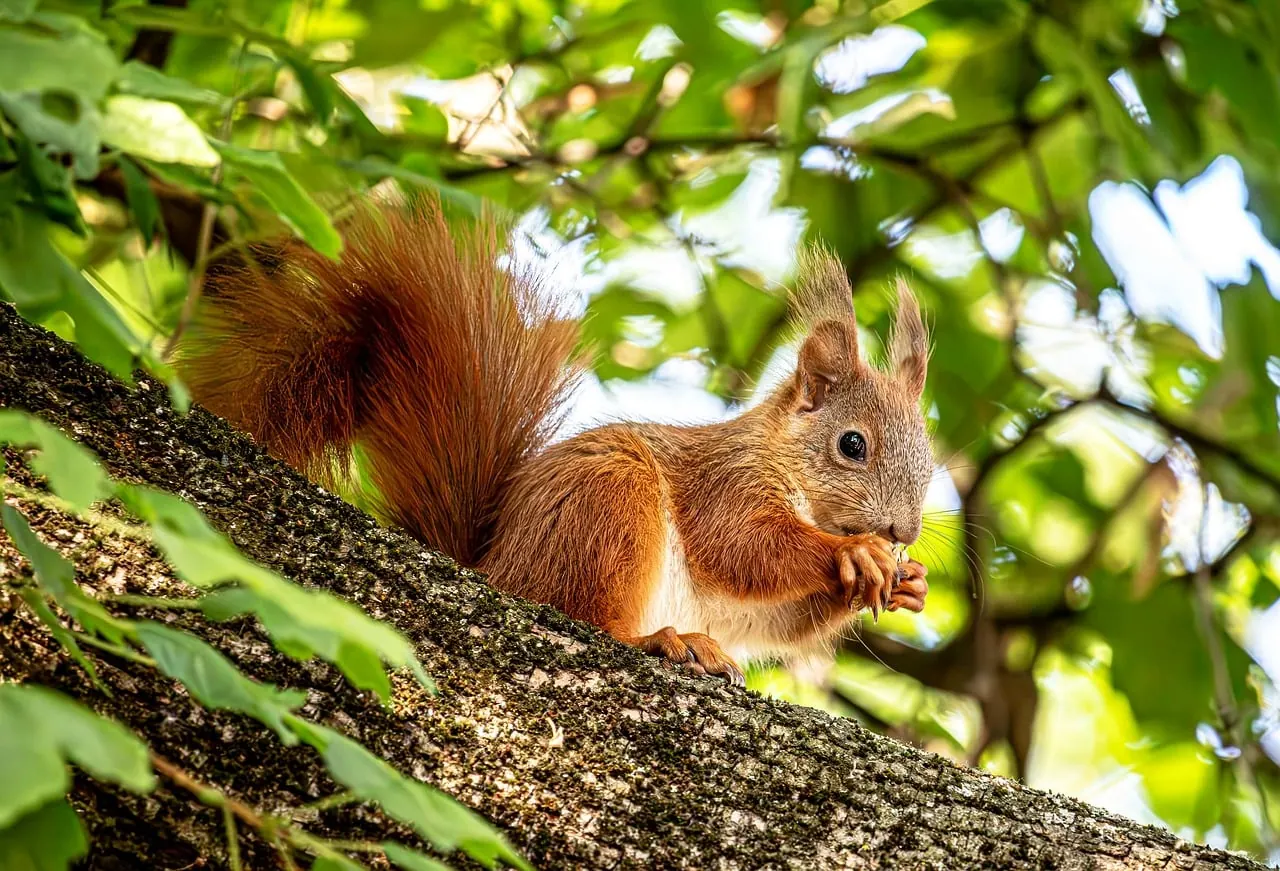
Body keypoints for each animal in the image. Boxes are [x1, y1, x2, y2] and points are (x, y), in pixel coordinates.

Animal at [176, 195, 933, 685]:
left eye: (929, 461)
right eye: (853, 445)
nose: (904, 531)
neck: (786, 464)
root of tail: (496, 567)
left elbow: (776, 617)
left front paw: (905, 583)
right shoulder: (727, 479)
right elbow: (744, 546)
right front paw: (852, 553)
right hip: (608, 505)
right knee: (587, 615)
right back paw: (666, 640)